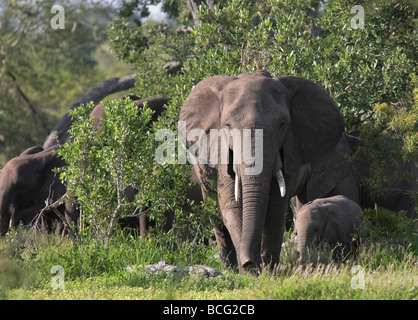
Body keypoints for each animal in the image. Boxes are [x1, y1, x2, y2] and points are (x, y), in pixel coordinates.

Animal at [178, 70, 344, 272]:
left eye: (282, 123)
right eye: (227, 125)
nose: (249, 261)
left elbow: (275, 207)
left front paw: (267, 269)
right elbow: (232, 206)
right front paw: (249, 271)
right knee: (216, 216)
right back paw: (229, 269)